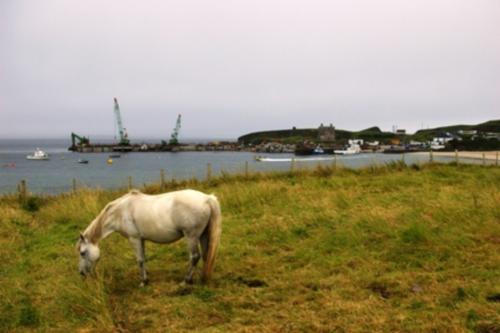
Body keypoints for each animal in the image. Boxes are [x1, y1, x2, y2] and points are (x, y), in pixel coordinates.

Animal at [76, 188, 221, 284]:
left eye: (82, 253)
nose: (81, 273)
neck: (120, 212)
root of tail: (207, 199)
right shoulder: (141, 239)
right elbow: (144, 259)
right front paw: (146, 278)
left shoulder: (134, 239)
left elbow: (140, 260)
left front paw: (143, 281)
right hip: (202, 235)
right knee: (206, 255)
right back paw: (202, 277)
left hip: (191, 236)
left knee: (195, 256)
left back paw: (186, 280)